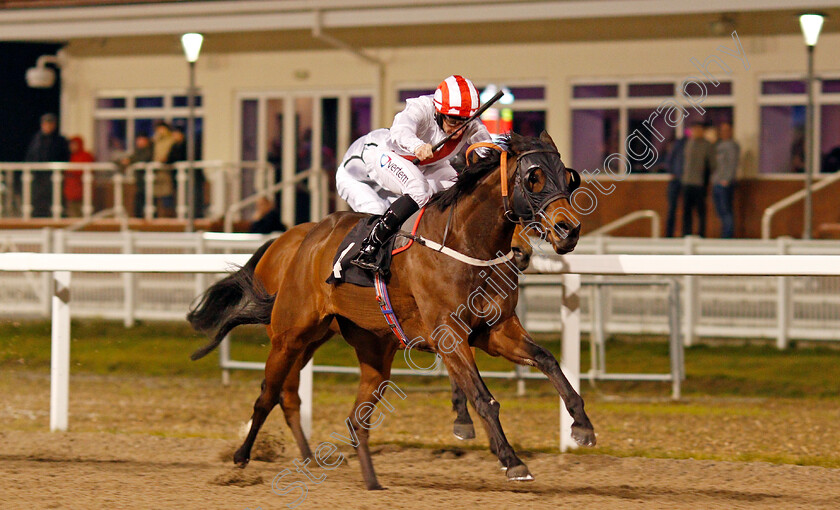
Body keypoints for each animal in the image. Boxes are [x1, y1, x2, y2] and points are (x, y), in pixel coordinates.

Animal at [188, 131, 592, 486]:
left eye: (567, 176)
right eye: (534, 177)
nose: (568, 230)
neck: (464, 243)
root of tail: (306, 238)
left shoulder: (495, 330)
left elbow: (547, 360)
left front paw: (582, 425)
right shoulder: (450, 335)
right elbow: (483, 396)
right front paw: (511, 460)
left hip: (356, 346)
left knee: (343, 415)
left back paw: (354, 474)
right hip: (289, 335)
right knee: (269, 395)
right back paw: (242, 457)